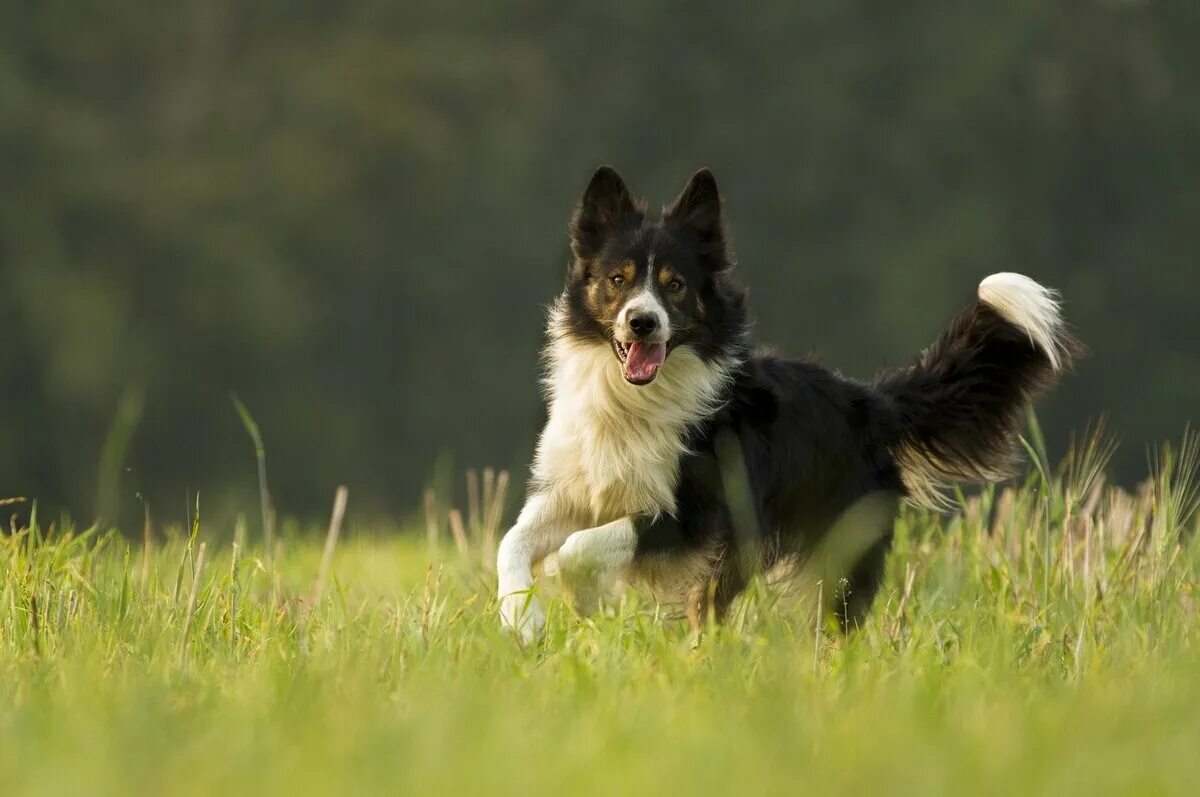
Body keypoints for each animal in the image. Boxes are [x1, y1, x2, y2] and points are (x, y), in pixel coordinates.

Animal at [496, 163, 1080, 643]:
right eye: (617, 280)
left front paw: (581, 601)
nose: (643, 322)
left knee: (830, 623)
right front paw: (521, 621)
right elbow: (512, 541)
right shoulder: (574, 488)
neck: (633, 399)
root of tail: (869, 400)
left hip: (827, 548)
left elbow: (578, 549)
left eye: (676, 285)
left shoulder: (693, 514)